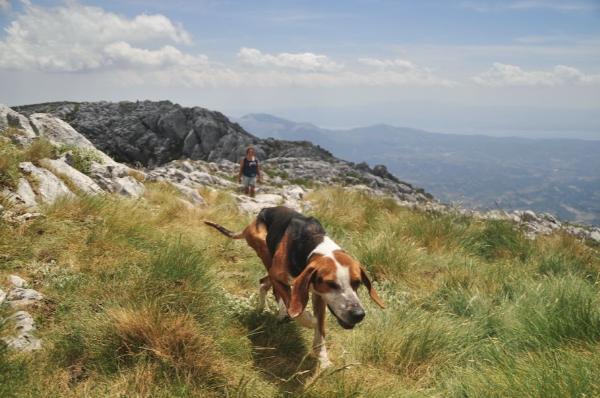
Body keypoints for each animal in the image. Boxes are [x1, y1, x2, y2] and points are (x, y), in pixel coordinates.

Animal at [205, 207, 384, 368]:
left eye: (357, 283)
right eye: (331, 284)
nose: (358, 314)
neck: (312, 244)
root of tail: (256, 218)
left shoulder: (319, 295)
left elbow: (320, 329)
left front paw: (323, 359)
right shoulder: (284, 279)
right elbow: (299, 310)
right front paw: (308, 320)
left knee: (264, 283)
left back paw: (265, 308)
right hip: (268, 260)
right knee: (275, 290)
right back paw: (280, 312)